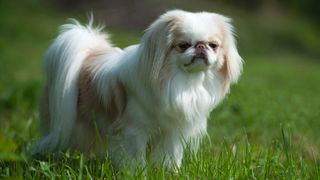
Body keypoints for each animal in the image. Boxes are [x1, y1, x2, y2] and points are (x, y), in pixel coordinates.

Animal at [34, 9, 242, 170]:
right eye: (183, 45)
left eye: (213, 45)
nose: (200, 47)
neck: (184, 82)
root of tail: (88, 54)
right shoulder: (134, 132)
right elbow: (136, 160)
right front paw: (139, 173)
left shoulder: (172, 133)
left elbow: (170, 157)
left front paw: (169, 173)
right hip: (68, 125)